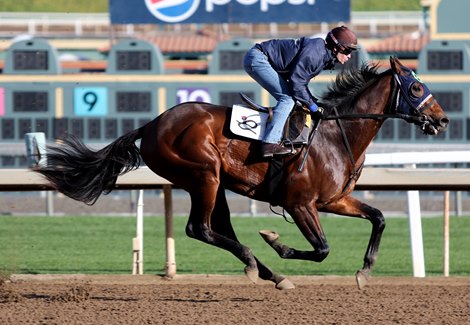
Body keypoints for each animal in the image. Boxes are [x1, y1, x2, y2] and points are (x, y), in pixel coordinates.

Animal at [34, 56, 448, 288]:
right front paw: (275, 240)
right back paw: (256, 263)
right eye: (415, 88)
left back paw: (272, 275)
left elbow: (378, 218)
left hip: (214, 183)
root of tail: (151, 125)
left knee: (219, 228)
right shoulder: (300, 204)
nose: (442, 120)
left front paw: (364, 272)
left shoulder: (334, 200)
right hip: (205, 174)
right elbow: (321, 249)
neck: (335, 134)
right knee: (199, 228)